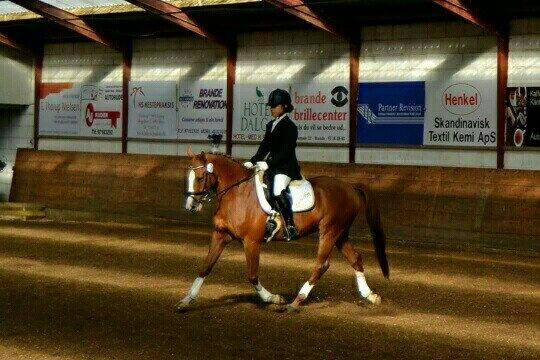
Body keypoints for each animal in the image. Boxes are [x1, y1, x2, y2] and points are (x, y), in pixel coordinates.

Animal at [177, 149, 388, 312]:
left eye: (200, 177)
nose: (190, 206)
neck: (236, 193)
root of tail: (350, 187)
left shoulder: (251, 241)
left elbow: (252, 275)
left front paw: (273, 298)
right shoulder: (221, 235)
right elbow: (205, 267)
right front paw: (186, 301)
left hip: (329, 231)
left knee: (322, 264)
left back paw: (295, 302)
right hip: (340, 233)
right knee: (355, 258)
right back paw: (370, 296)